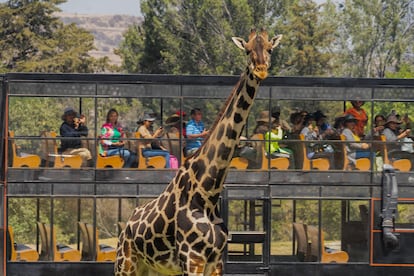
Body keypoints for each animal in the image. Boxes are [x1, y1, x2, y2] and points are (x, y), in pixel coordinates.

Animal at [114, 29, 282, 274]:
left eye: (269, 48)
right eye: (248, 50)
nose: (260, 69)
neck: (208, 193)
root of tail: (126, 224)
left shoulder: (216, 262)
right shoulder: (192, 259)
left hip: (156, 269)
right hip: (126, 263)